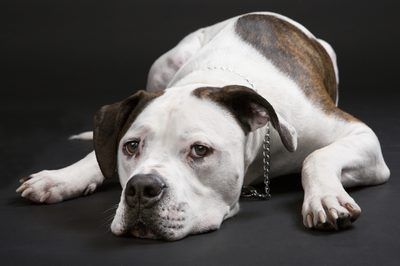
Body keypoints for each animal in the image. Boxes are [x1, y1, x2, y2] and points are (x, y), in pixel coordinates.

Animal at [16, 11, 390, 241]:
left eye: (200, 150)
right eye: (131, 147)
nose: (141, 188)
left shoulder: (361, 137)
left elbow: (316, 157)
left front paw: (325, 198)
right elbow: (98, 154)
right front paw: (62, 177)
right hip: (163, 62)